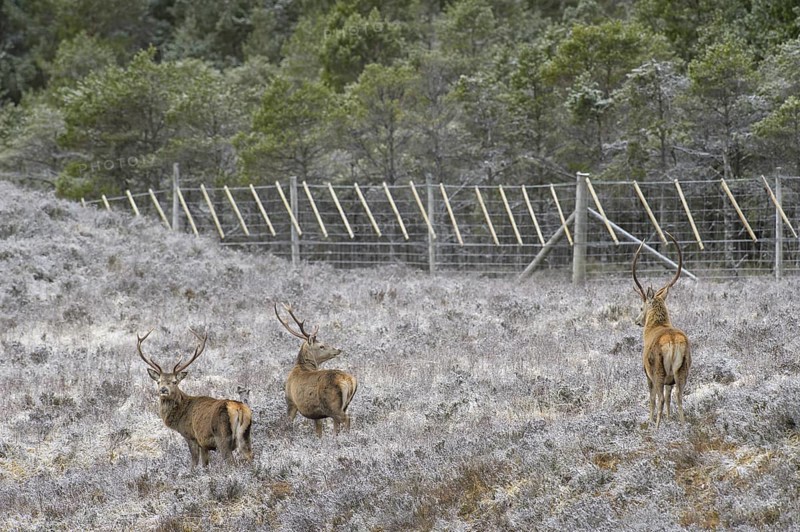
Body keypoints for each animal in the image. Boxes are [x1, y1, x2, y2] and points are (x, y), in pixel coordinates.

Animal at [137, 328, 253, 468]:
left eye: (175, 381)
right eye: (158, 381)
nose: (163, 390)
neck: (179, 416)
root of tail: (239, 408)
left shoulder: (191, 436)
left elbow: (194, 463)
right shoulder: (204, 443)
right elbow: (205, 464)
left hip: (222, 435)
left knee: (230, 461)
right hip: (245, 435)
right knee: (250, 456)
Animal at [275, 302, 358, 437]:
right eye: (321, 346)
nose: (338, 349)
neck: (301, 367)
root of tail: (349, 381)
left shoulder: (291, 402)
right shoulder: (315, 412)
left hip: (332, 404)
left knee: (347, 419)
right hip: (344, 404)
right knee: (338, 424)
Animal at [632, 232, 691, 429]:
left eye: (641, 307)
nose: (637, 321)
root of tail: (672, 341)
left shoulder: (646, 372)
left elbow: (652, 399)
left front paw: (649, 420)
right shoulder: (670, 380)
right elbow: (669, 398)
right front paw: (669, 418)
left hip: (657, 370)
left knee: (659, 399)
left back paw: (657, 428)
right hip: (683, 370)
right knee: (678, 397)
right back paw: (682, 426)